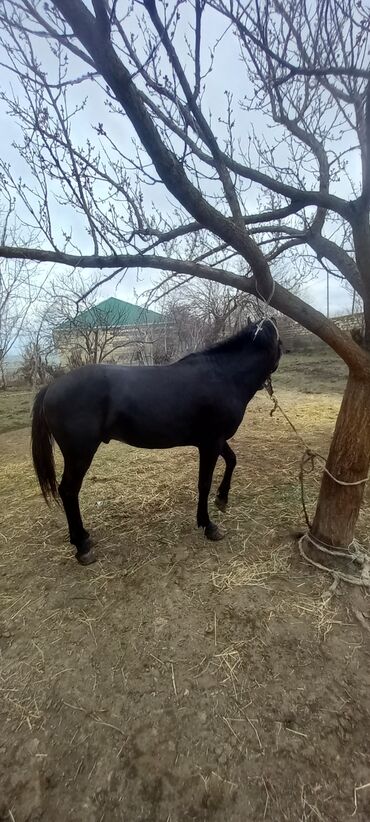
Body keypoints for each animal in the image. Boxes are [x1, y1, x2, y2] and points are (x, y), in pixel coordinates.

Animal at [31, 318, 282, 568]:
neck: (223, 376)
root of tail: (52, 387)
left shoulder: (215, 441)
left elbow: (232, 460)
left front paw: (222, 499)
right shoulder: (210, 443)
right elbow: (204, 483)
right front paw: (208, 525)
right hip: (79, 455)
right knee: (68, 491)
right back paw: (82, 545)